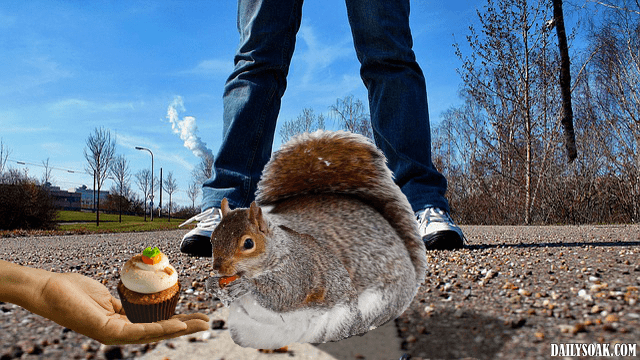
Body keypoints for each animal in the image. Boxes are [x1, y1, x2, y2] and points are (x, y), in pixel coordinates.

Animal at [208, 129, 428, 348]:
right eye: (213, 238)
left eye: (248, 243)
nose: (218, 268)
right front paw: (211, 285)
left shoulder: (300, 268)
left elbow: (285, 293)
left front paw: (246, 285)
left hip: (368, 306)